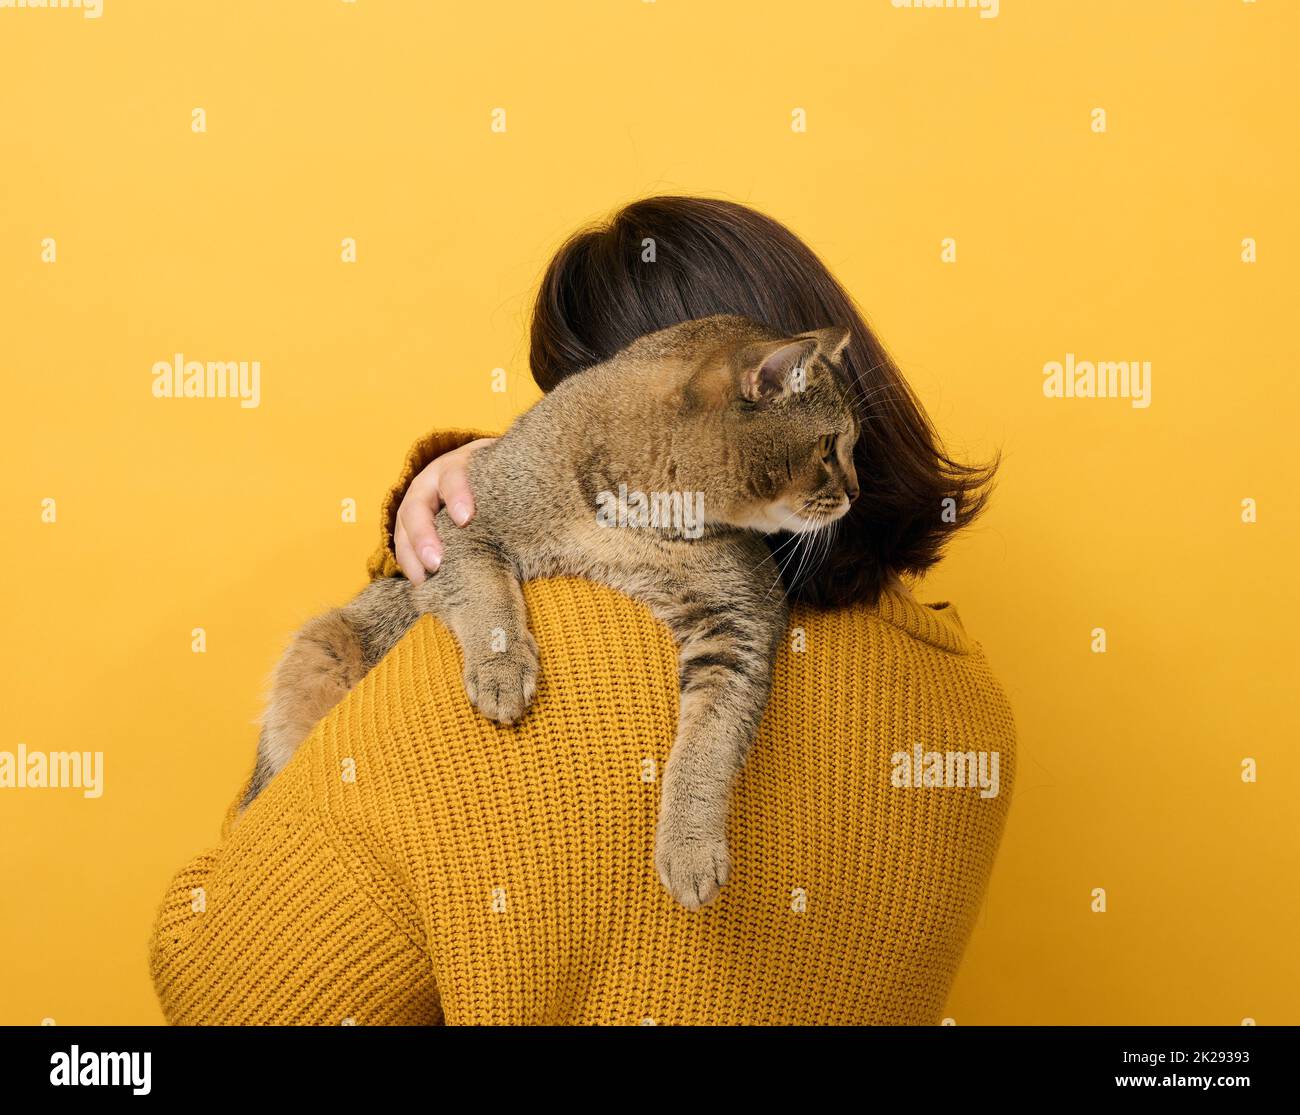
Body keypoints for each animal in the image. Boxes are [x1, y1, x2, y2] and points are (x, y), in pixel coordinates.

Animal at [244, 313, 863, 904]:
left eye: (851, 447)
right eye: (829, 447)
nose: (856, 491)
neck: (638, 512)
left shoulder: (741, 621)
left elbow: (709, 744)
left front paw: (690, 846)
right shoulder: (461, 530)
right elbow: (489, 597)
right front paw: (503, 671)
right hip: (319, 648)